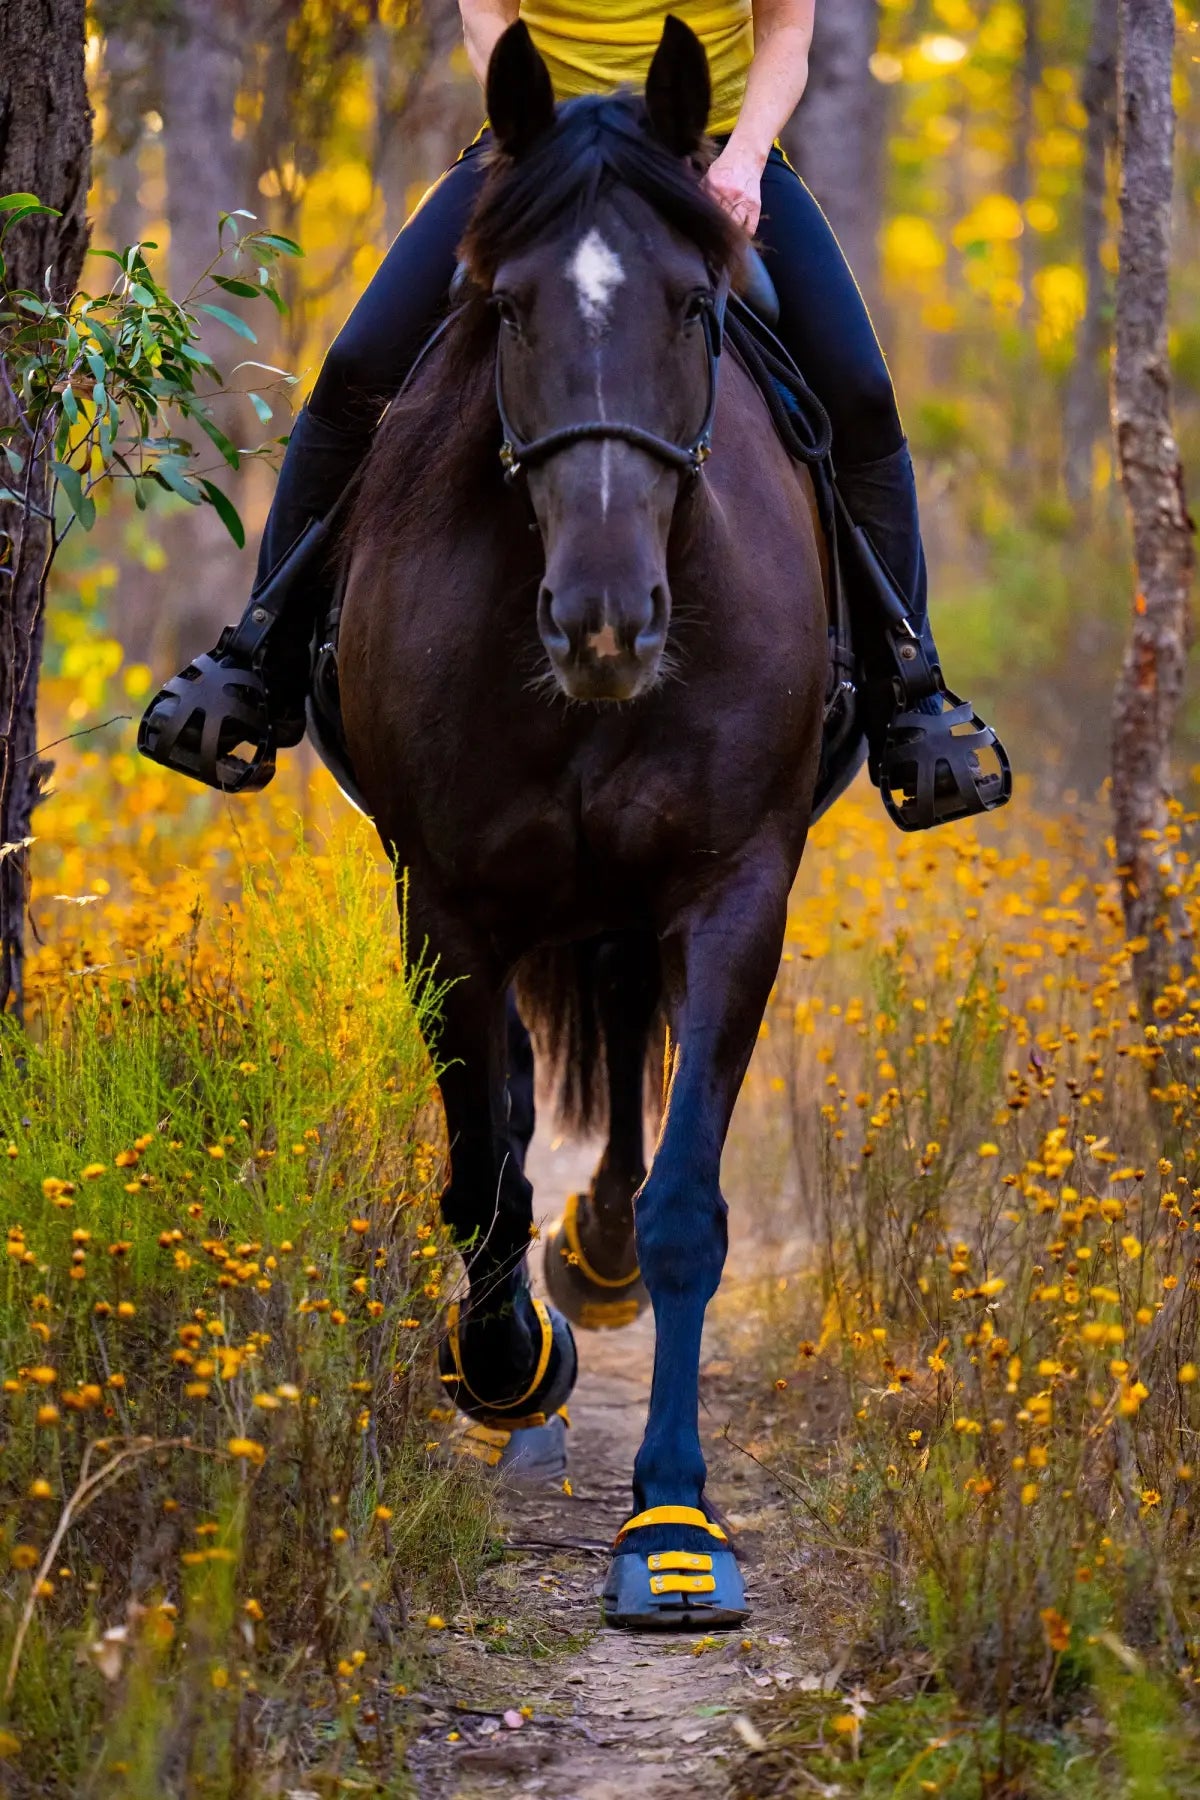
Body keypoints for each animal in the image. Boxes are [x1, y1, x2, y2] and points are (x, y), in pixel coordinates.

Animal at [337, 16, 828, 1628]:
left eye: (696, 307)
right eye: (506, 309)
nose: (606, 621)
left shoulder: (737, 889)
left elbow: (685, 1211)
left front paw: (672, 1524)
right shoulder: (447, 898)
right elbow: (482, 1177)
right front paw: (508, 1366)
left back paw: (599, 1260)